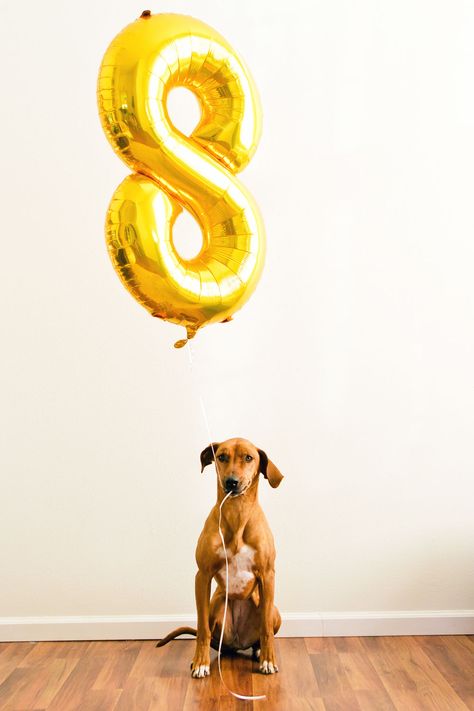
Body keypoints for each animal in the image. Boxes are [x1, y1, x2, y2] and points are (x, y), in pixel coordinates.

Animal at [156, 436, 284, 676]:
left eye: (249, 457)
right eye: (222, 456)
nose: (231, 482)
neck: (237, 512)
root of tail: (237, 644)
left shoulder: (268, 575)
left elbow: (266, 630)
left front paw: (268, 660)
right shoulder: (202, 576)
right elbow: (202, 629)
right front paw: (200, 663)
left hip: (274, 610)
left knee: (263, 630)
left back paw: (259, 651)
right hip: (217, 606)